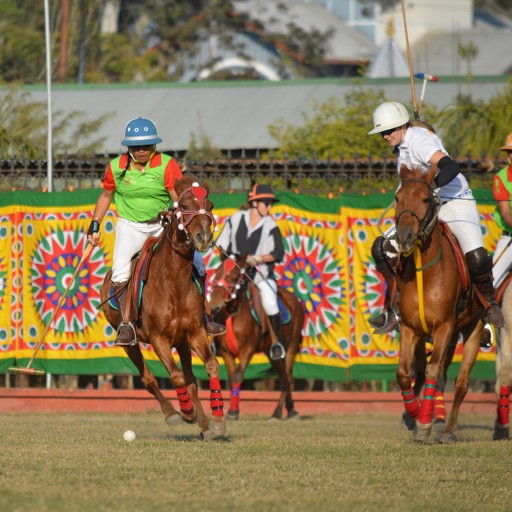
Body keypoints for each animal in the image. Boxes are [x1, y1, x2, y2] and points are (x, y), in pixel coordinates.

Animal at [100, 176, 226, 440]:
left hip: (182, 341)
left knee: (191, 380)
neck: (175, 281)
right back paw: (172, 414)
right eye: (184, 205)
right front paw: (186, 413)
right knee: (148, 378)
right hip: (130, 341)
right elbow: (175, 376)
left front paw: (217, 419)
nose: (203, 237)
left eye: (209, 205)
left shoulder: (195, 332)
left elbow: (209, 366)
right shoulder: (158, 338)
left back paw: (205, 427)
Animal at [208, 256, 304, 420]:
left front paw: (233, 411)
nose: (214, 305)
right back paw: (288, 410)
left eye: (233, 277)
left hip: (291, 347)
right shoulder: (227, 352)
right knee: (283, 376)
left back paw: (280, 412)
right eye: (216, 275)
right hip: (271, 355)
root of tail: (295, 300)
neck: (234, 313)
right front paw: (233, 410)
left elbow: (238, 376)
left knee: (288, 377)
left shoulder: (247, 349)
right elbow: (231, 378)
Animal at [392, 165, 484, 444]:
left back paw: (449, 429)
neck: (425, 269)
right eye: (397, 198)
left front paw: (423, 424)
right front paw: (413, 415)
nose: (404, 237)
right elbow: (404, 374)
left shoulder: (444, 326)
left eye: (425, 199)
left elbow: (434, 372)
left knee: (461, 382)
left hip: (473, 328)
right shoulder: (410, 328)